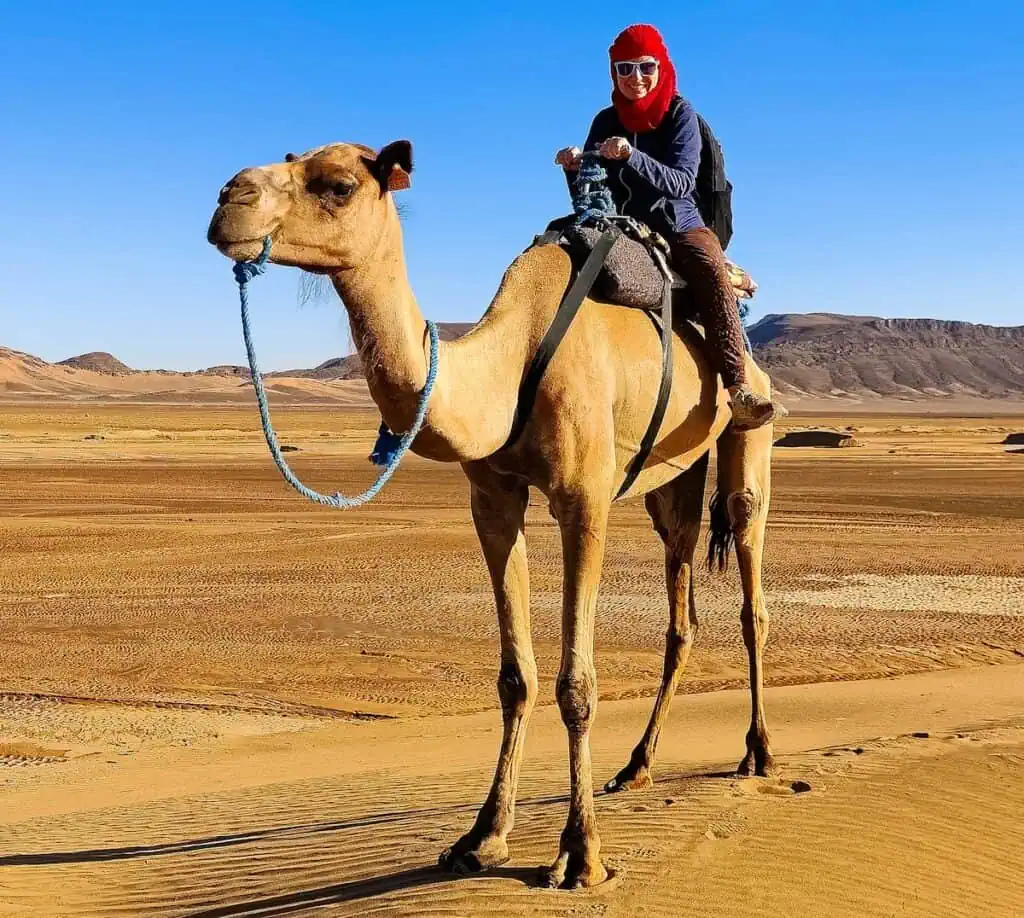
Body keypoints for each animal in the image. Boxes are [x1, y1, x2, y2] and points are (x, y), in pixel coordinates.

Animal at [207, 140, 776, 889]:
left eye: (338, 184)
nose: (229, 198)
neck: (509, 364)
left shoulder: (583, 499)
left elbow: (576, 683)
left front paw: (580, 853)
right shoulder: (493, 500)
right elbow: (515, 678)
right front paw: (482, 836)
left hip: (747, 434)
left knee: (749, 581)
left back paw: (757, 753)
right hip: (672, 479)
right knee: (680, 608)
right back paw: (637, 765)